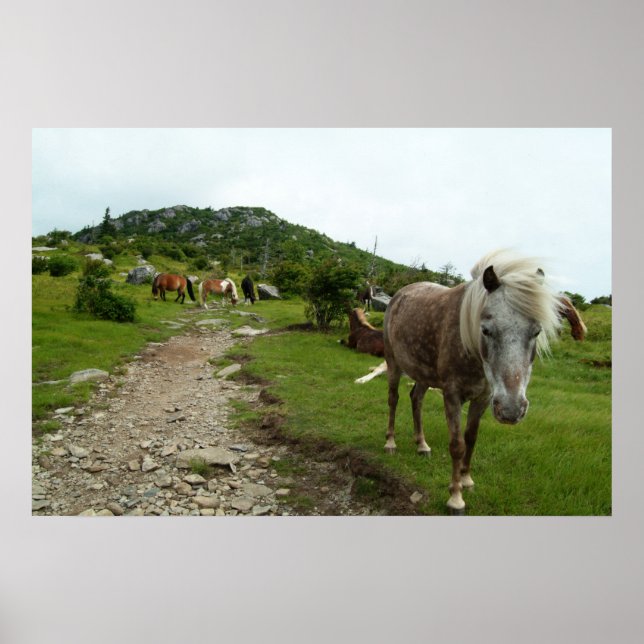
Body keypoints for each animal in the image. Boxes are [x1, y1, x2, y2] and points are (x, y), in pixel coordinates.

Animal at [383, 249, 561, 514]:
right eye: (486, 330)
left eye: (536, 332)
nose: (511, 410)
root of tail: (399, 295)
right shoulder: (452, 396)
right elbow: (457, 445)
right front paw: (455, 498)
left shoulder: (484, 398)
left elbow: (471, 439)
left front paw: (466, 480)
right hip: (393, 363)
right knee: (393, 399)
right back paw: (390, 443)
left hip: (424, 374)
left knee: (416, 399)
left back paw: (422, 445)